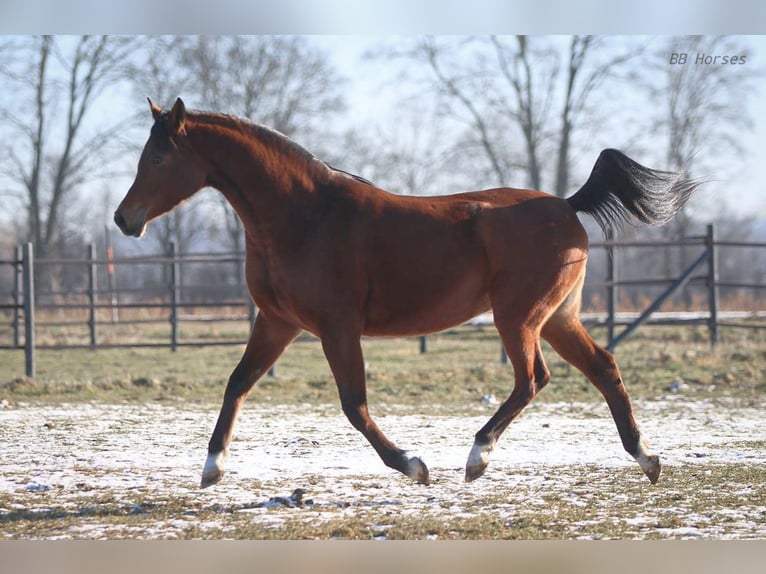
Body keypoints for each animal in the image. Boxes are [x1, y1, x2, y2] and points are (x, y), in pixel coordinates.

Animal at [115, 100, 704, 490]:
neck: (303, 217)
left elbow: (354, 405)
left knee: (532, 379)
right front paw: (211, 468)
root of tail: (565, 203)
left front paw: (414, 466)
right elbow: (237, 383)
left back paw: (477, 456)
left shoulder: (336, 327)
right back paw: (647, 458)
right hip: (557, 318)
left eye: (159, 159)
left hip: (518, 319)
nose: (124, 219)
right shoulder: (277, 322)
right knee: (602, 366)